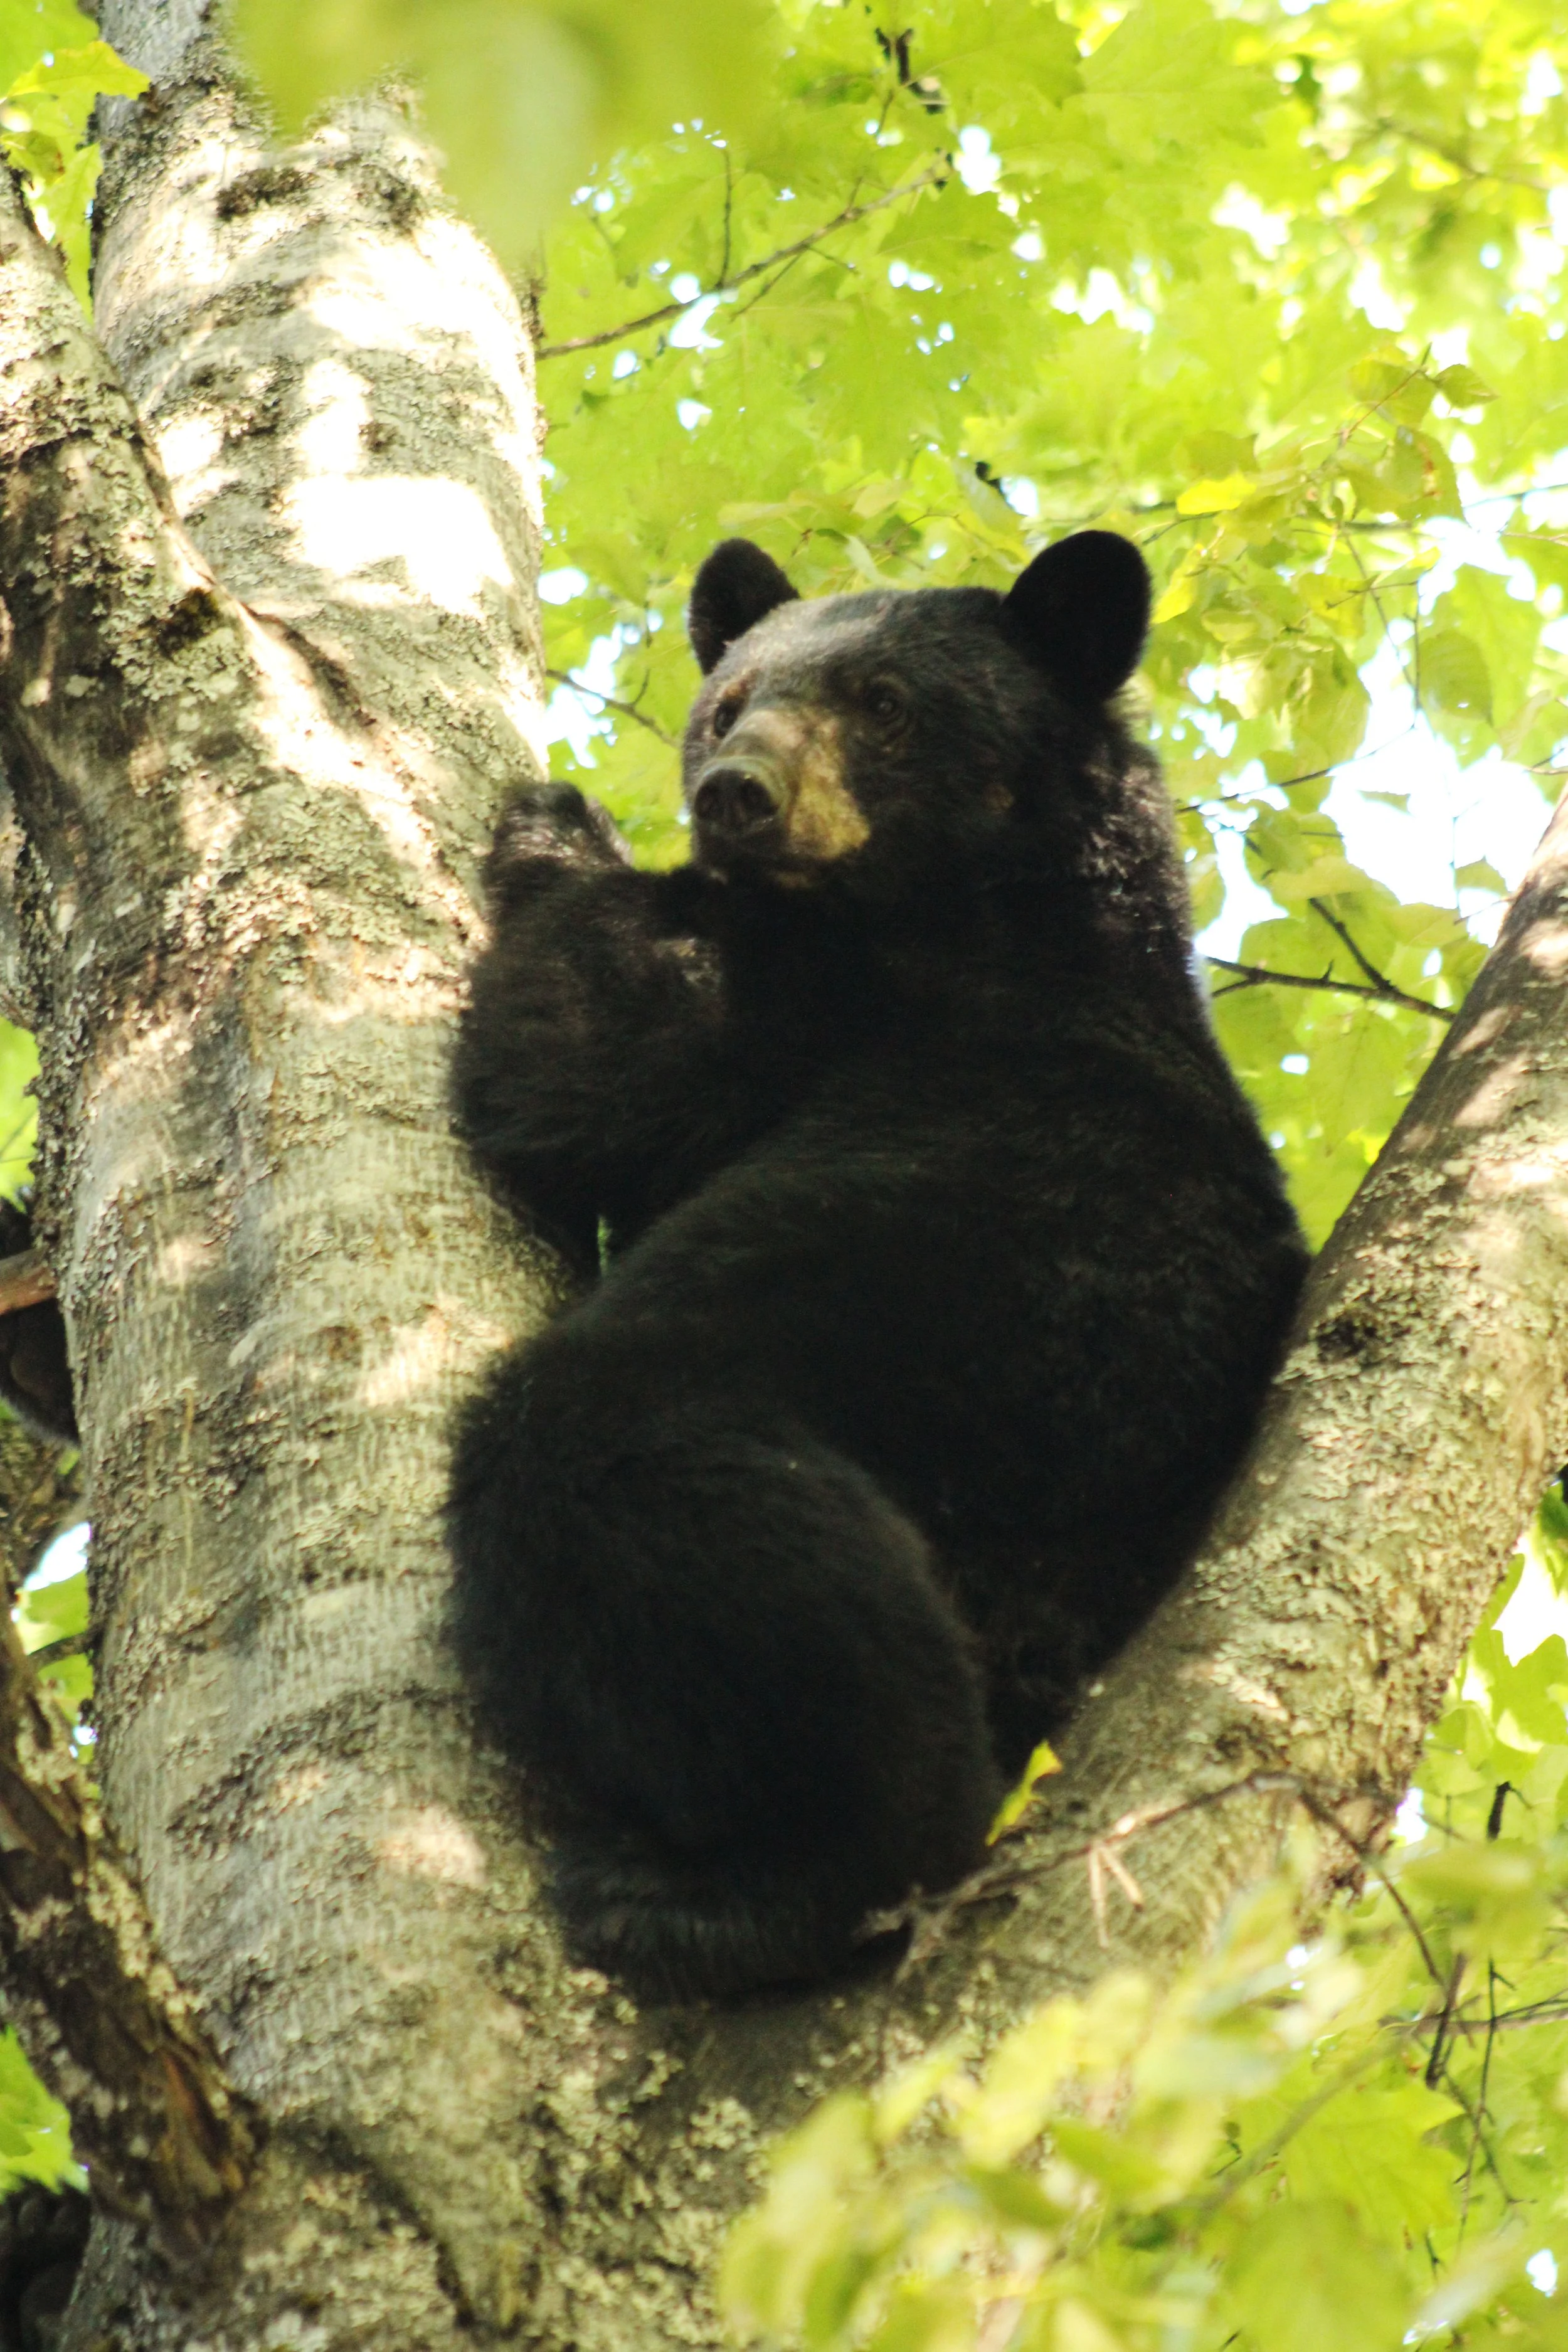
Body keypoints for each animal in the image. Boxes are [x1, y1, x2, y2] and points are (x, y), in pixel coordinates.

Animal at [447, 528, 1309, 2002]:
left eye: (887, 703)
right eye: (730, 702)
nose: (736, 794)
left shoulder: (830, 1016)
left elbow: (577, 1056)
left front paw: (557, 830)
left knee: (659, 1494)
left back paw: (749, 1892)